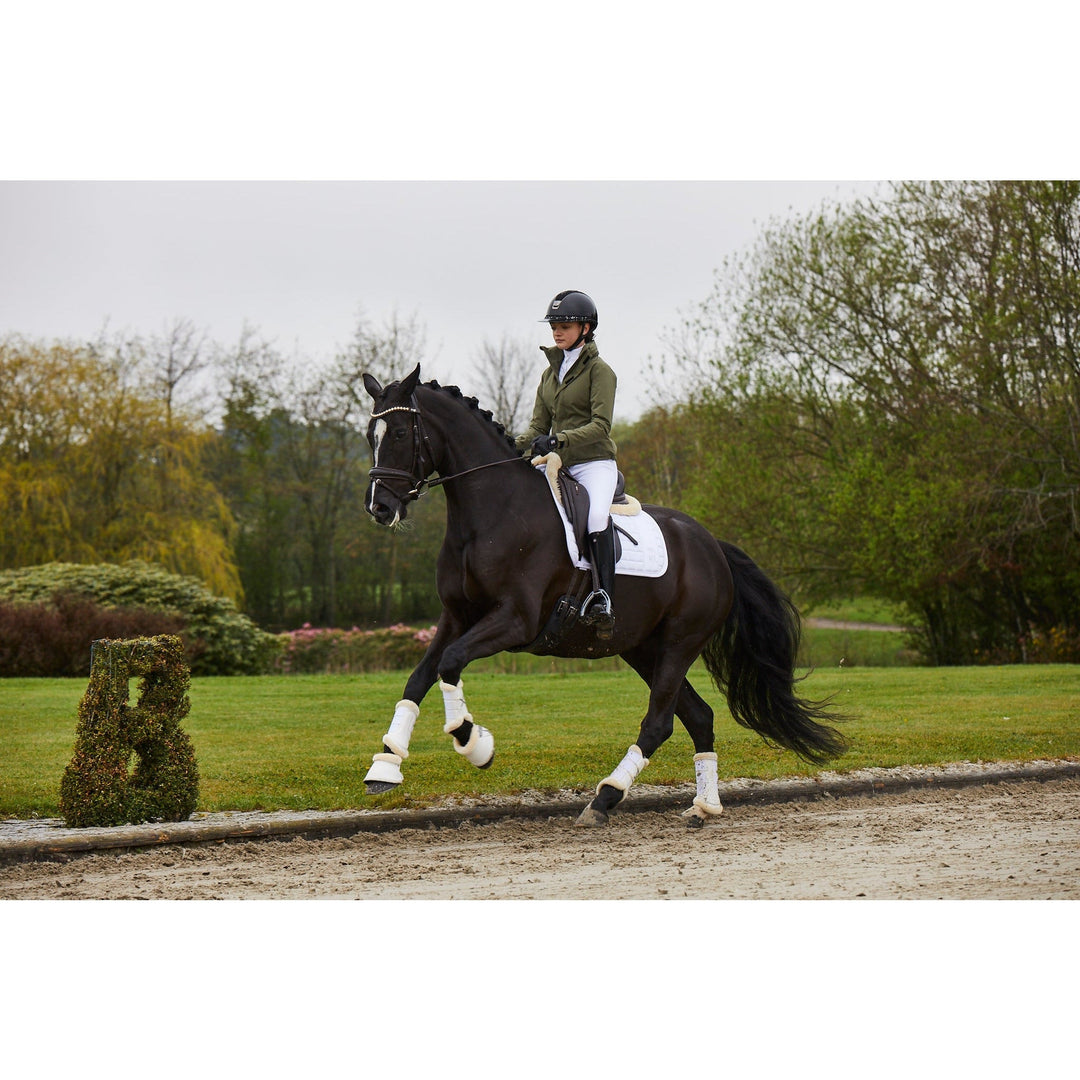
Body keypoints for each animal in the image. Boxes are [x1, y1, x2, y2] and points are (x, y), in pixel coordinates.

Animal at [360, 364, 846, 827]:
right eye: (370, 435)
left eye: (399, 433)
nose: (379, 508)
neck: (491, 514)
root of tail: (713, 547)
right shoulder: (457, 617)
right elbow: (420, 676)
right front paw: (385, 764)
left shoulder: (514, 620)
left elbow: (451, 662)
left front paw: (473, 741)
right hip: (643, 649)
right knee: (699, 716)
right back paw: (704, 806)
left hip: (679, 644)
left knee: (659, 722)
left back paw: (606, 796)